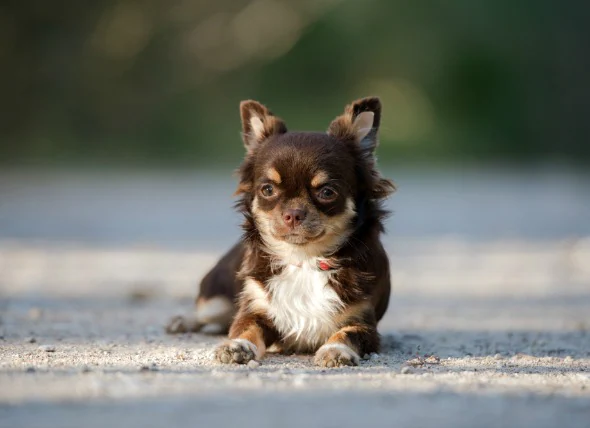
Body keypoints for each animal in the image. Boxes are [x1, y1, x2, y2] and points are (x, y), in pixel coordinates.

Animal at [168, 98, 398, 368]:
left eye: (327, 192)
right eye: (267, 190)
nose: (293, 214)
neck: (304, 260)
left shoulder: (363, 324)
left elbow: (347, 334)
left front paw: (335, 350)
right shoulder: (255, 310)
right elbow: (245, 328)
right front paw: (237, 346)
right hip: (215, 299)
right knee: (207, 314)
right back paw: (182, 321)